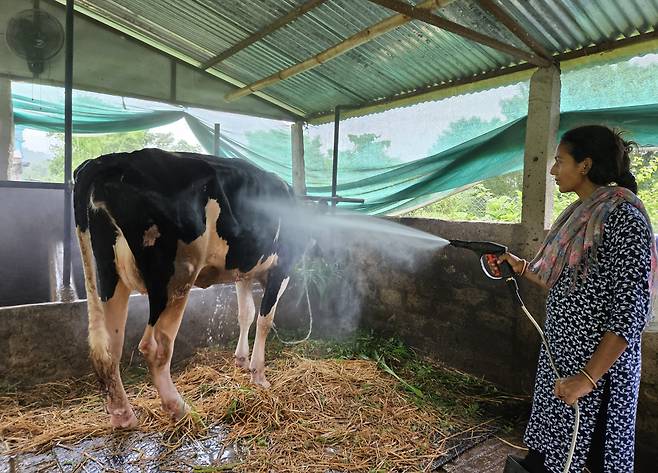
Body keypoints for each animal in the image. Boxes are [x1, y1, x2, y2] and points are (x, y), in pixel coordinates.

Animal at [73, 148, 304, 428]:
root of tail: (111, 159)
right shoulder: (282, 267)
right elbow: (264, 320)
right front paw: (258, 375)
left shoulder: (244, 272)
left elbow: (245, 314)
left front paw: (241, 360)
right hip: (177, 276)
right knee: (156, 347)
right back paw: (179, 408)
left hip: (109, 275)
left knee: (110, 346)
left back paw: (123, 415)